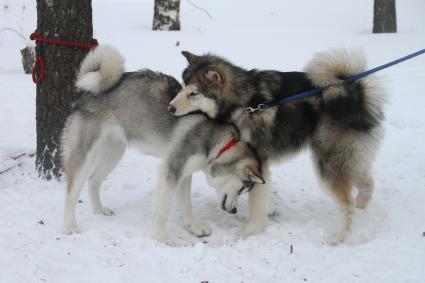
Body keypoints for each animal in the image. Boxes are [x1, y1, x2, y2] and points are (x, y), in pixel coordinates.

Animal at [61, 46, 264, 242]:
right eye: (242, 188)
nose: (234, 211)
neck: (217, 143)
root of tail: (87, 91)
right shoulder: (171, 171)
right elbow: (163, 211)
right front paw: (163, 239)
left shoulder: (184, 174)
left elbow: (186, 206)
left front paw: (194, 228)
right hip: (85, 154)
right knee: (71, 192)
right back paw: (70, 226)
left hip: (114, 152)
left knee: (93, 180)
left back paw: (99, 211)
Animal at [168, 49, 384, 244]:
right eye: (182, 87)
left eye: (193, 93)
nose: (170, 107)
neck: (243, 103)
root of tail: (355, 94)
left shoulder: (258, 161)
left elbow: (256, 203)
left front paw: (249, 232)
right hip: (346, 159)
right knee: (366, 181)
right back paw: (361, 204)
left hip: (327, 163)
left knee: (346, 204)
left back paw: (337, 236)